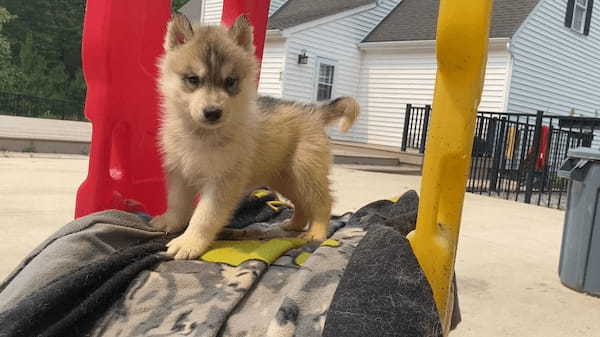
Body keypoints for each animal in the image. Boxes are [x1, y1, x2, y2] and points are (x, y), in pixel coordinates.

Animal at [152, 13, 358, 258]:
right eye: (193, 79)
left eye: (230, 81)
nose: (212, 112)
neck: (201, 134)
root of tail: (313, 111)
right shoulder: (179, 173)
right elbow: (176, 204)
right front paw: (170, 223)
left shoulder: (222, 182)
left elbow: (204, 216)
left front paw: (189, 242)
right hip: (284, 178)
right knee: (301, 204)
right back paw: (293, 225)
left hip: (307, 173)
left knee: (322, 203)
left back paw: (316, 232)